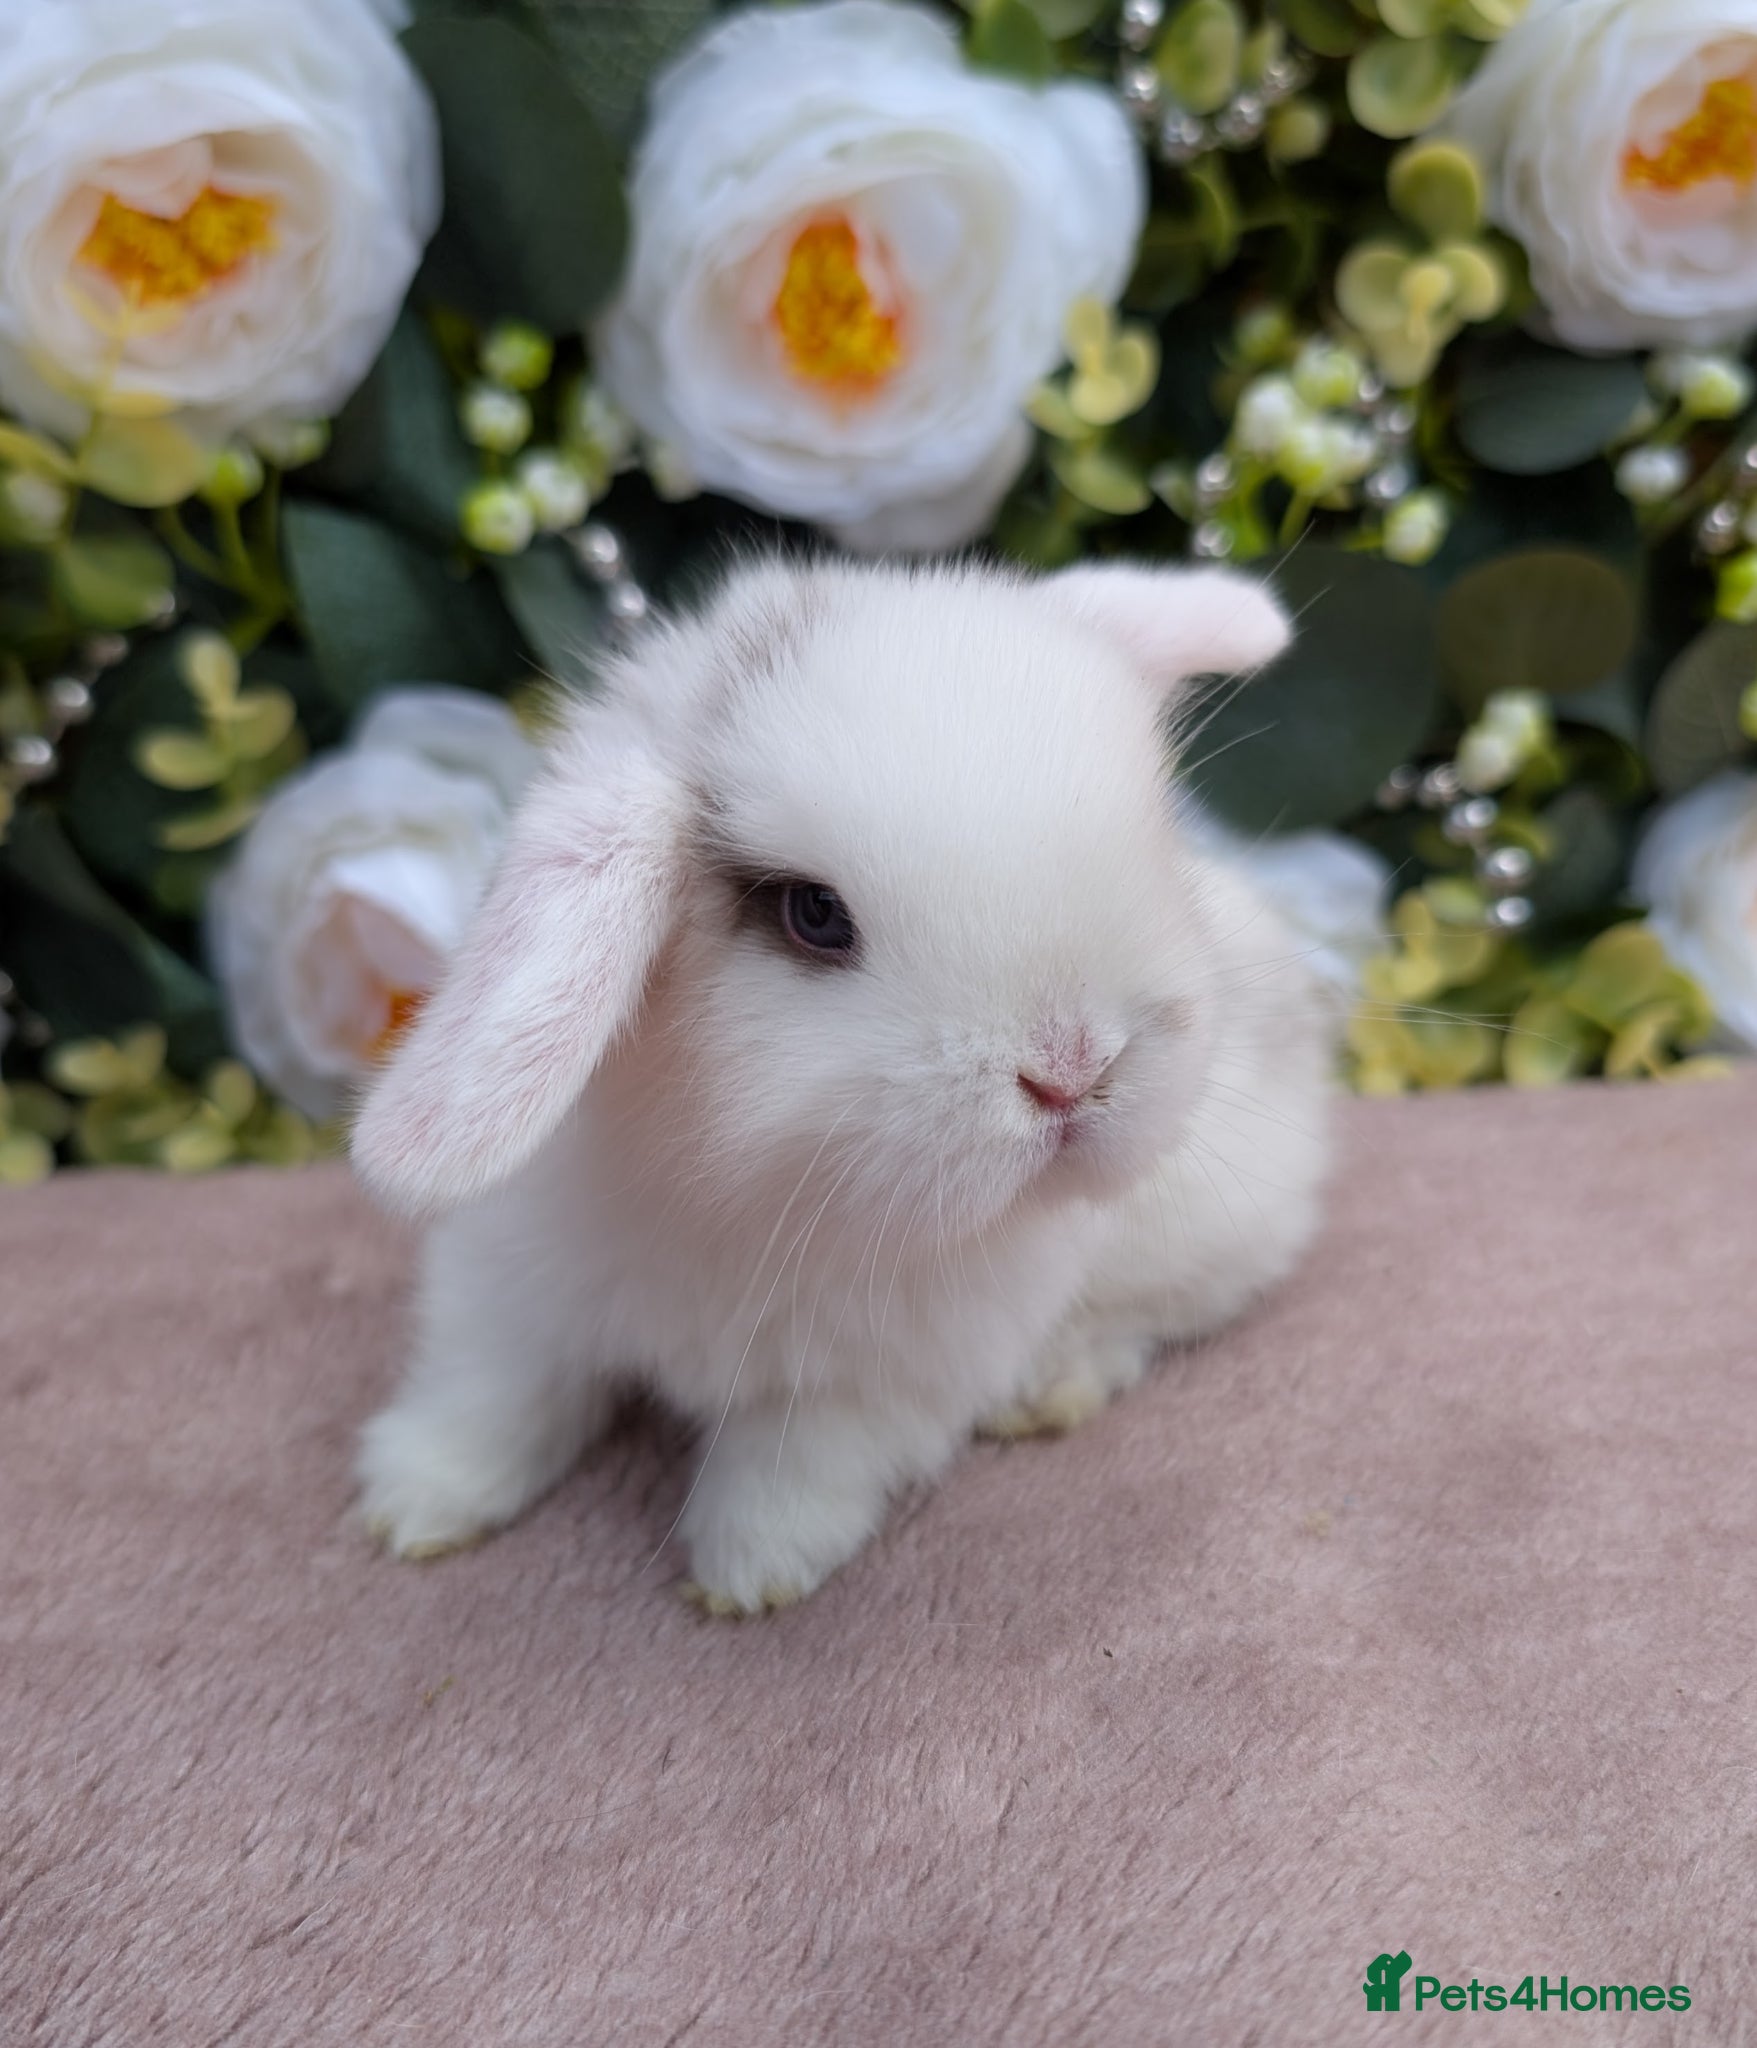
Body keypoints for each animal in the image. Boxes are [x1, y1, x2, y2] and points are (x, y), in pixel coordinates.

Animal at [350, 556, 1336, 1614]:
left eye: (1152, 850)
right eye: (814, 912)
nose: (1074, 1070)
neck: (739, 1191)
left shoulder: (879, 1384)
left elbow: (795, 1467)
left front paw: (747, 1578)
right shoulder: (508, 1290)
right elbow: (491, 1393)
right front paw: (412, 1505)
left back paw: (1049, 1388)